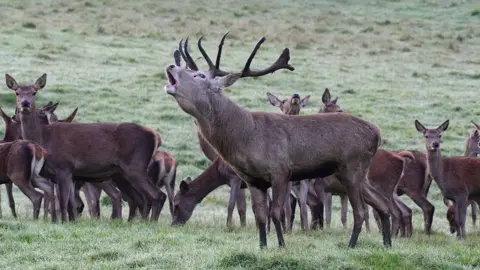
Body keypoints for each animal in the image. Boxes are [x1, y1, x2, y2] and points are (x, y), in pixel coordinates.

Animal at [4, 73, 167, 223]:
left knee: (157, 195)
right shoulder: (67, 173)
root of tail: (156, 136)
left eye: (34, 92)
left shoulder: (64, 167)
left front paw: (64, 222)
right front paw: (71, 221)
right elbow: (71, 202)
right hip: (126, 171)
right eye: (17, 92)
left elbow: (63, 201)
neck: (44, 139)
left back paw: (151, 223)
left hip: (134, 165)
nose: (25, 104)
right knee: (144, 197)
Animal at [164, 32, 390, 248]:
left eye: (199, 75)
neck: (245, 136)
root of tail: (377, 133)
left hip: (352, 166)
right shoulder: (253, 180)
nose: (171, 66)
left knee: (361, 211)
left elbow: (276, 213)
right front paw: (263, 247)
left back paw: (351, 246)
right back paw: (387, 244)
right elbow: (260, 215)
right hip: (357, 173)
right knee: (383, 203)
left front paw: (281, 245)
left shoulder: (280, 171)